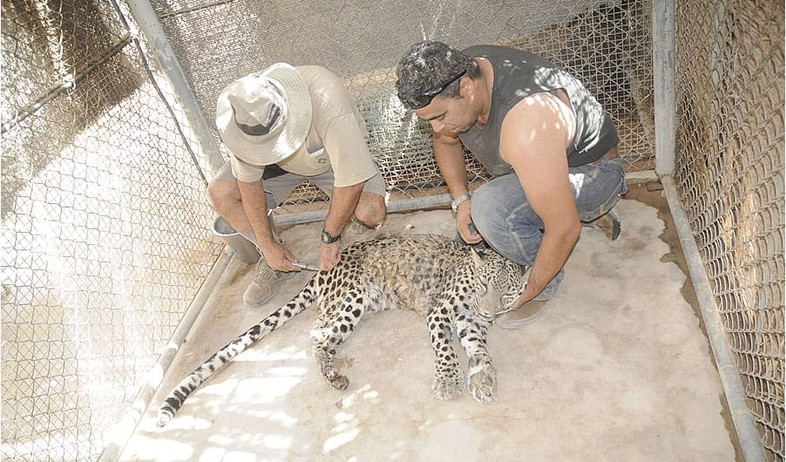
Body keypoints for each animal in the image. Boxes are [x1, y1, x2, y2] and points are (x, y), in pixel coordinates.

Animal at [155, 233, 528, 428]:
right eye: (482, 287)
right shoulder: (441, 312)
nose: (488, 309)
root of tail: (324, 270)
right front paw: (449, 381)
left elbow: (478, 349)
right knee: (316, 333)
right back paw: (333, 373)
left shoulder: (470, 322)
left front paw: (483, 378)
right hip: (353, 297)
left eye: (506, 294)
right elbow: (446, 349)